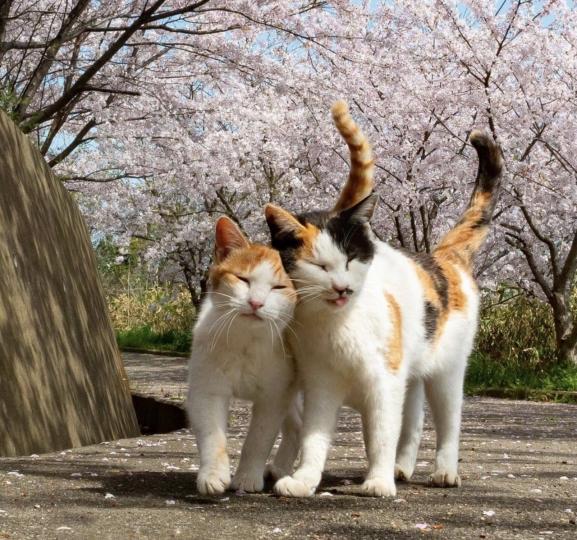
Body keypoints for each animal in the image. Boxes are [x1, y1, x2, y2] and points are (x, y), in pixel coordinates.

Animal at [186, 217, 302, 496]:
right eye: (243, 279)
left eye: (279, 287)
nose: (256, 303)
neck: (246, 343)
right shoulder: (207, 389)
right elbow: (212, 436)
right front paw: (213, 475)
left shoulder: (273, 397)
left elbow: (258, 439)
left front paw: (248, 477)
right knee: (297, 426)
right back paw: (280, 468)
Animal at [264, 102, 502, 498]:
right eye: (318, 266)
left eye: (351, 259)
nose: (342, 288)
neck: (337, 326)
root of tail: (442, 257)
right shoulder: (320, 384)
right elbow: (314, 437)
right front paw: (304, 479)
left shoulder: (383, 382)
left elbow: (380, 435)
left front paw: (377, 482)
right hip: (412, 371)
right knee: (414, 421)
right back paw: (402, 467)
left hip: (447, 370)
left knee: (447, 422)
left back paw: (443, 471)